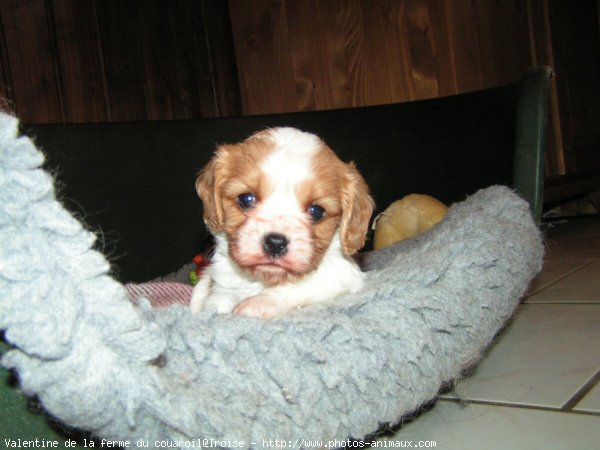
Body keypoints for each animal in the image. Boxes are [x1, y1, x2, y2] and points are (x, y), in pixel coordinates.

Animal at [190, 126, 372, 318]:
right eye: (246, 199)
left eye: (316, 211)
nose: (275, 243)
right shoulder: (221, 292)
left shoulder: (343, 275)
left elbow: (298, 285)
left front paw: (257, 303)